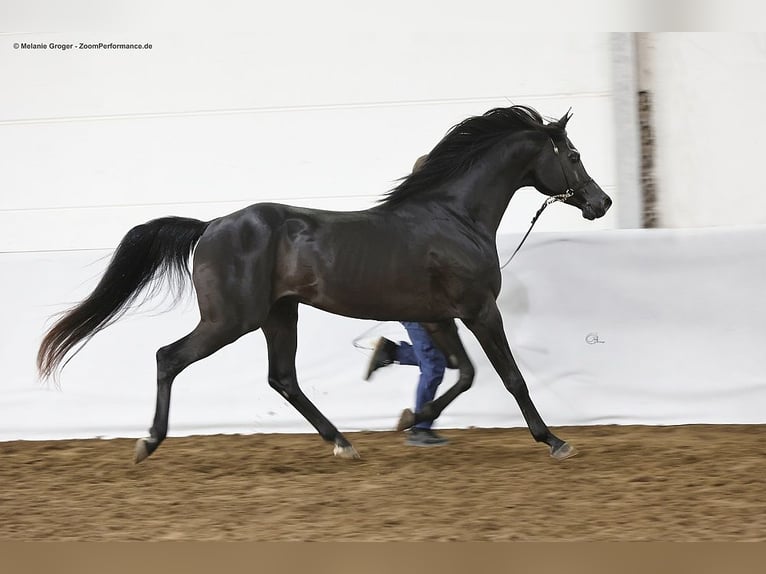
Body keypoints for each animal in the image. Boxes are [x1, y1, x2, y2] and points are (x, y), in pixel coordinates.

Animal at [37, 105, 611, 463]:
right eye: (574, 156)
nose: (600, 202)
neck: (454, 216)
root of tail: (211, 227)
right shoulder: (478, 309)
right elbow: (510, 377)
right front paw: (555, 441)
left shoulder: (439, 316)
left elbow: (462, 373)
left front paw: (412, 419)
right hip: (231, 319)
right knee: (168, 358)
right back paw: (148, 443)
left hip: (278, 314)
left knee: (283, 379)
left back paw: (343, 442)